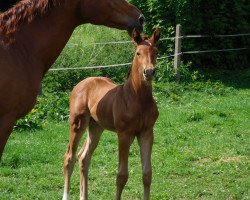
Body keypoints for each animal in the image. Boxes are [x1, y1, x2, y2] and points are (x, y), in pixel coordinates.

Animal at [63, 28, 160, 200]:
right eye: (138, 53)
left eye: (155, 51)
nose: (148, 72)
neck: (137, 98)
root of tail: (82, 83)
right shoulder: (124, 134)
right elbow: (122, 176)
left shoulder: (147, 132)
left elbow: (147, 174)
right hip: (77, 123)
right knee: (69, 158)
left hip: (96, 127)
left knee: (83, 157)